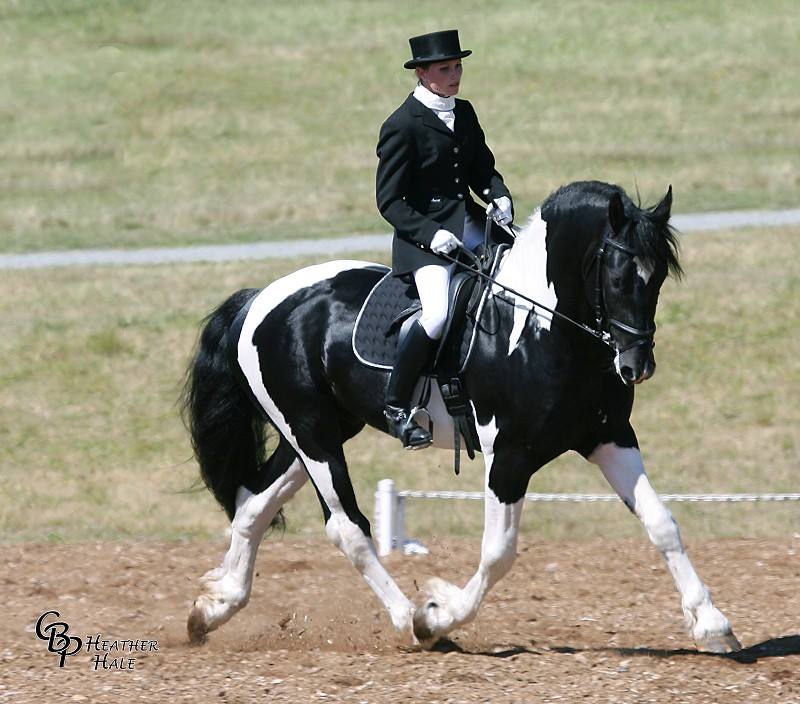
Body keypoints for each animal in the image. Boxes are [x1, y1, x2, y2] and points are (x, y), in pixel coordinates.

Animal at [183, 182, 744, 656]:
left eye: (660, 277)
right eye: (620, 276)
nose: (636, 366)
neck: (543, 328)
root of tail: (261, 298)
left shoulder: (608, 437)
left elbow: (662, 523)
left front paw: (713, 625)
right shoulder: (511, 456)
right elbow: (499, 552)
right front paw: (437, 615)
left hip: (318, 432)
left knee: (252, 503)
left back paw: (213, 608)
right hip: (314, 436)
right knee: (347, 528)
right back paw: (408, 621)